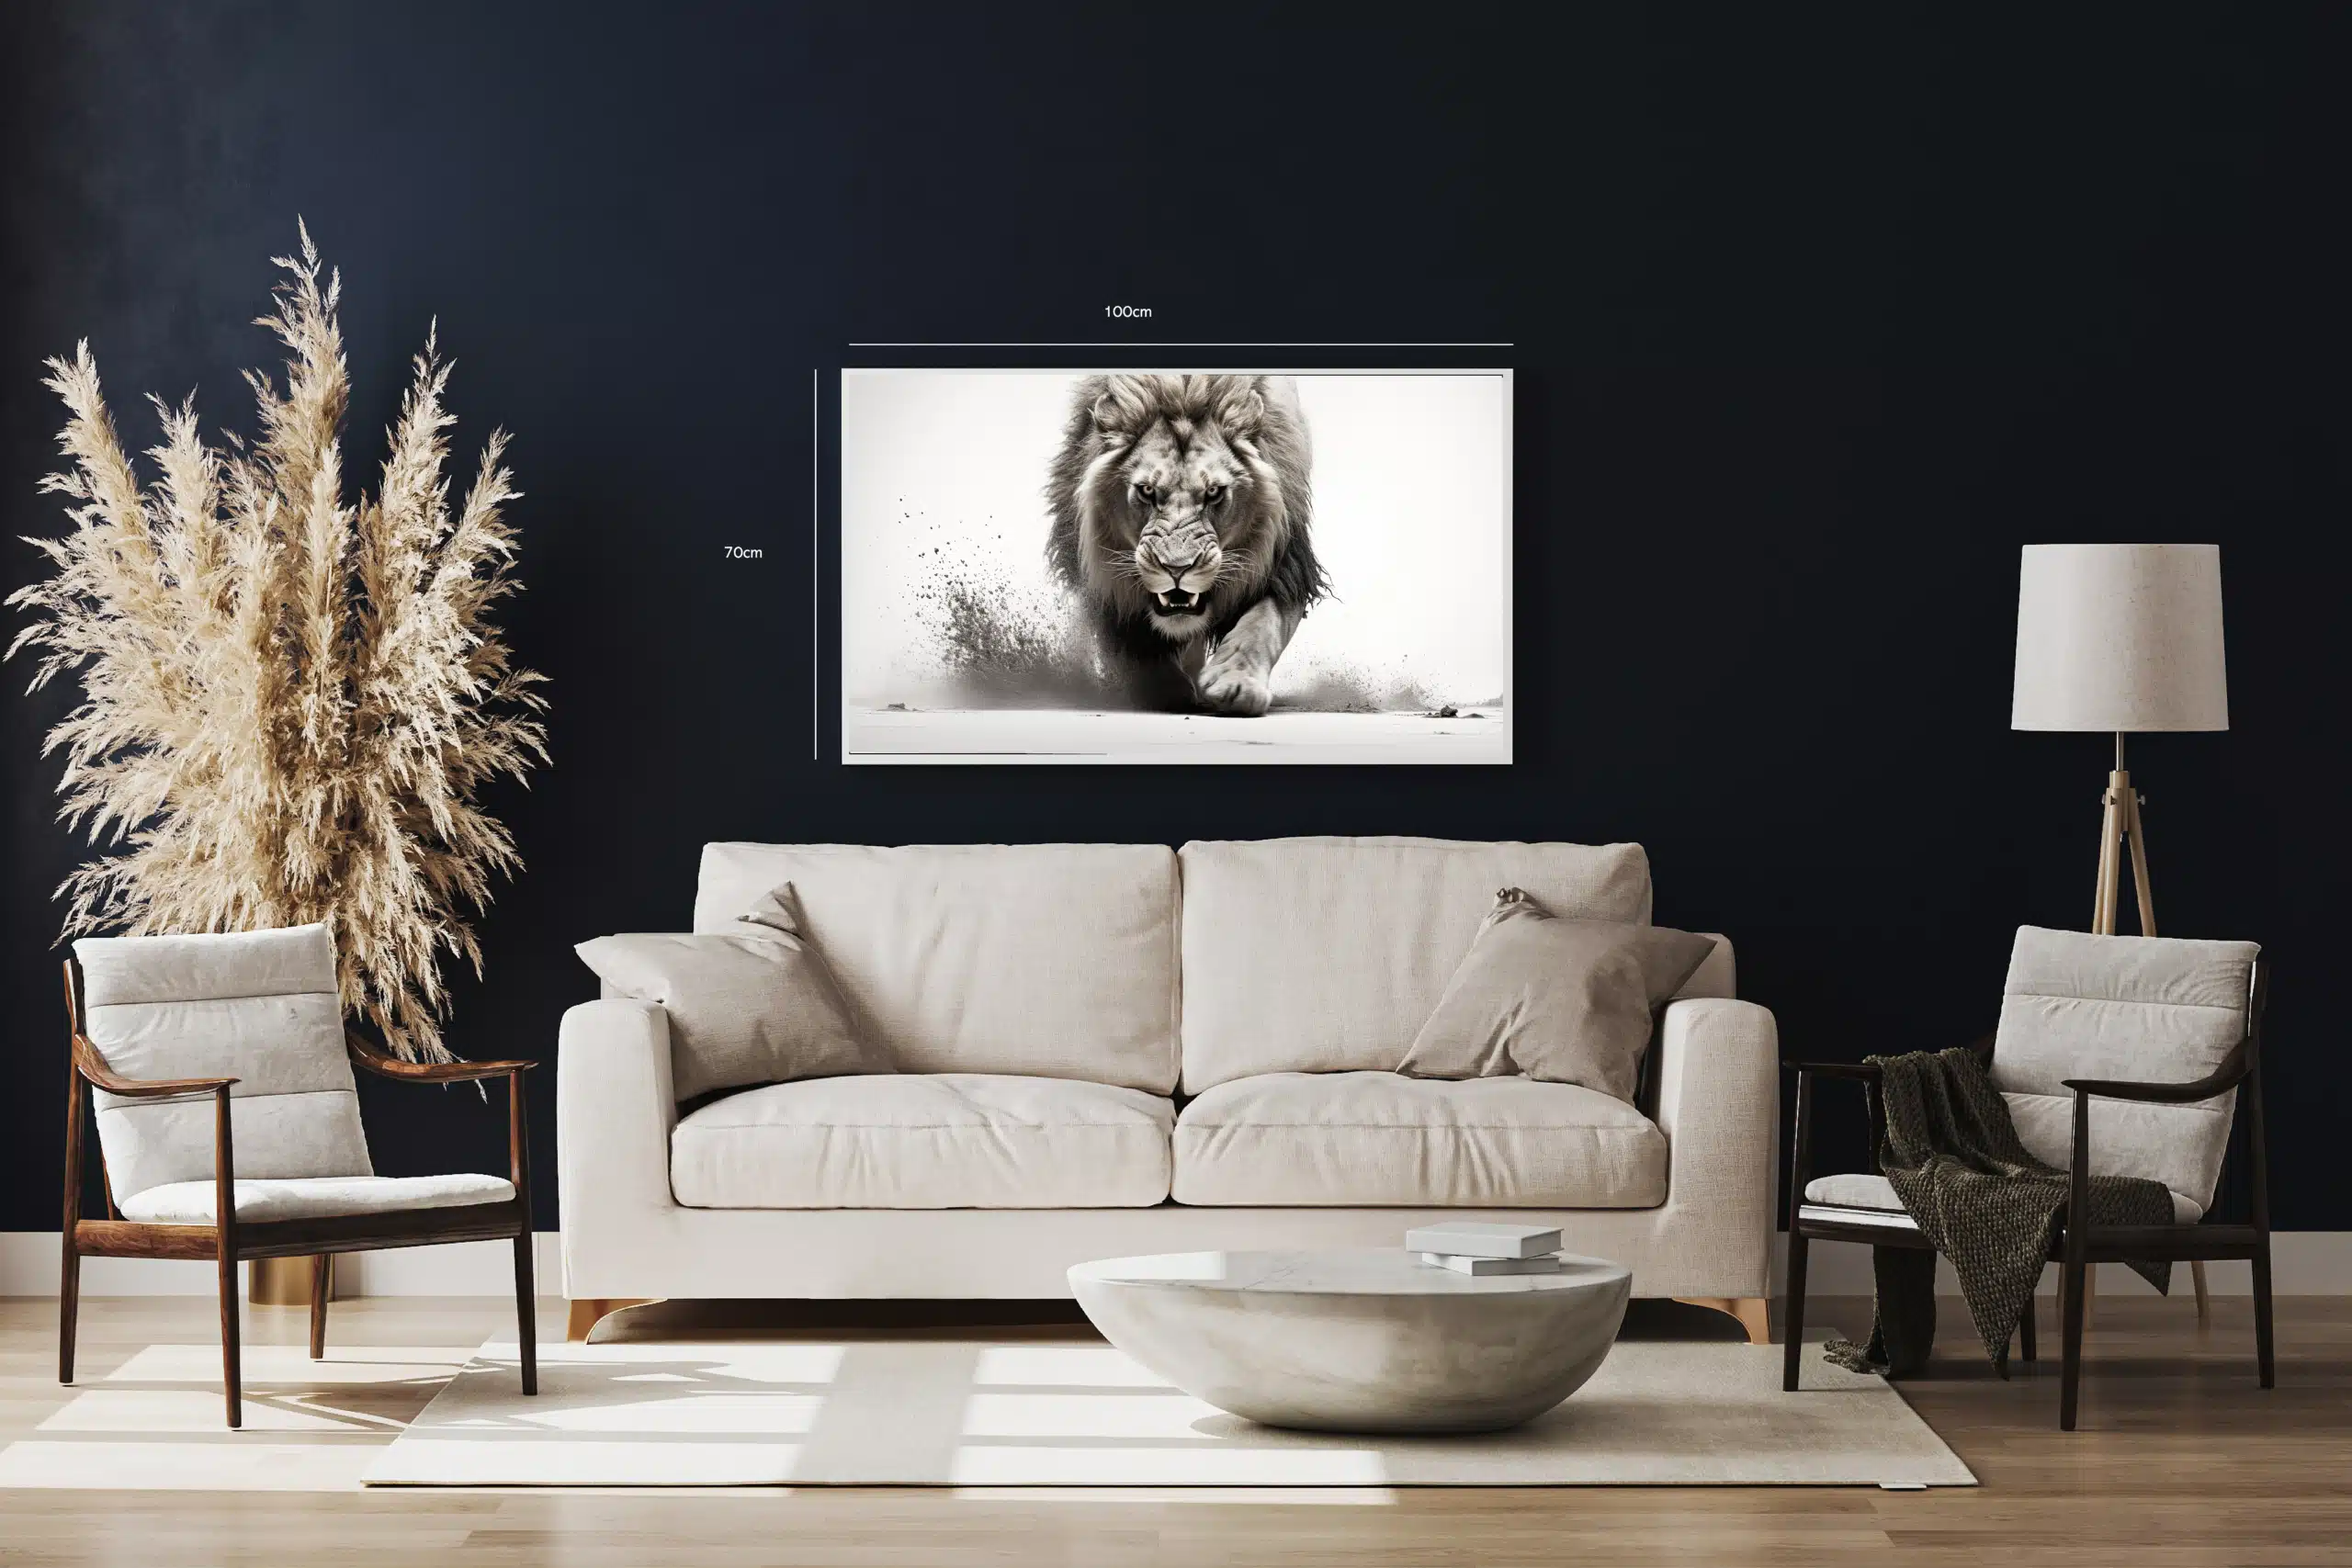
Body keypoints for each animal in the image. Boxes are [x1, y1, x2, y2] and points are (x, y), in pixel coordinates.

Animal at [1046, 374, 1328, 715]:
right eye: (1147, 490)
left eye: (1214, 492)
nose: (1177, 569)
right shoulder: (1103, 581)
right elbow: (1135, 646)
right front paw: (1163, 690)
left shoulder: (1286, 565)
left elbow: (1262, 624)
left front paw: (1235, 684)